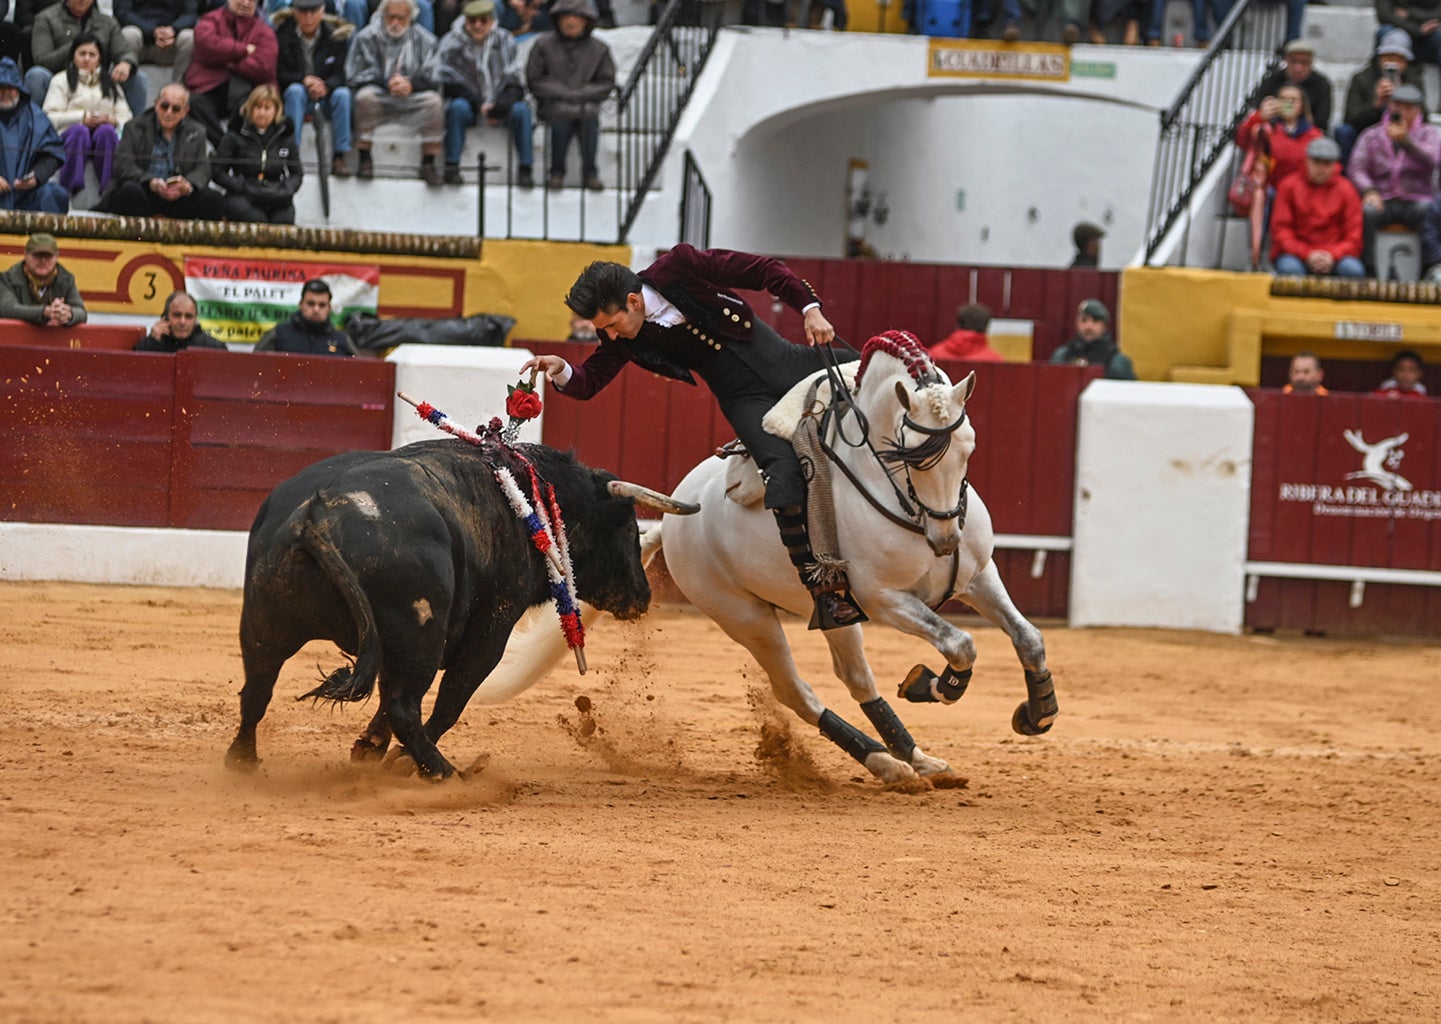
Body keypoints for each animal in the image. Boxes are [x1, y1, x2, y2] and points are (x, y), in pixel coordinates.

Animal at [221, 437, 694, 783]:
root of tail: (315, 519)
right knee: (407, 707)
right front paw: (393, 758)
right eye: (629, 528)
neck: (529, 498)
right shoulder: (490, 633)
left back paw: (242, 762)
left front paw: (369, 749)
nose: (643, 595)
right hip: (420, 636)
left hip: (264, 624)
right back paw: (448, 774)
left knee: (257, 691)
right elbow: (452, 700)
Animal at [484, 332, 1060, 789]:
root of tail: (675, 518)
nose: (943, 539)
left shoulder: (978, 576)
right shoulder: (885, 599)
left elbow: (1027, 637)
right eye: (909, 457)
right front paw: (930, 684)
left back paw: (915, 760)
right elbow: (962, 644)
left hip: (834, 611)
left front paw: (1037, 714)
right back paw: (886, 763)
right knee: (794, 690)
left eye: (969, 446)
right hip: (746, 617)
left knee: (856, 678)